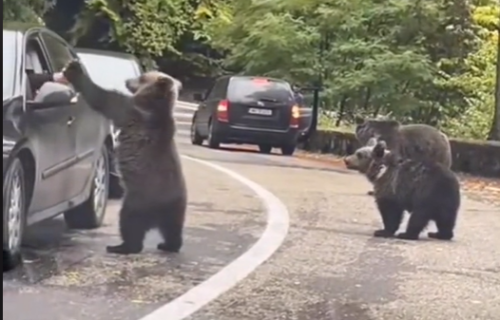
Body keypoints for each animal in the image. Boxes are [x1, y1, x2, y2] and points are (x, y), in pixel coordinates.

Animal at [62, 60, 187, 255]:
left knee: (130, 223)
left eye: (142, 77)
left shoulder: (130, 110)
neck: (155, 103)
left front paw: (74, 70)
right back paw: (168, 245)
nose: (127, 80)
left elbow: (103, 98)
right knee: (173, 228)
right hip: (176, 206)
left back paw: (120, 246)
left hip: (139, 200)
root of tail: (160, 211)